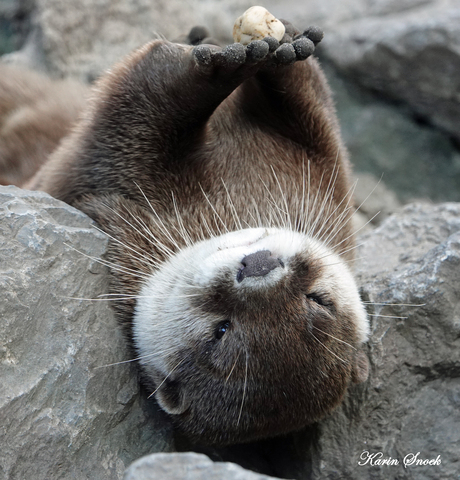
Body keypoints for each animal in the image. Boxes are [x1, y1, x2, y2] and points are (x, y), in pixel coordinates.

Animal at [0, 14, 370, 446]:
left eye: (220, 331)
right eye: (319, 300)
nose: (259, 265)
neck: (232, 199)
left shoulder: (97, 177)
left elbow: (138, 104)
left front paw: (220, 70)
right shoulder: (328, 168)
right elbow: (309, 100)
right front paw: (280, 48)